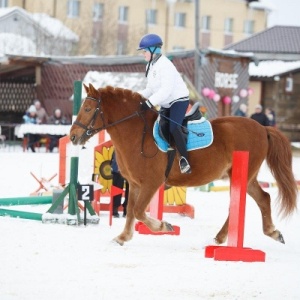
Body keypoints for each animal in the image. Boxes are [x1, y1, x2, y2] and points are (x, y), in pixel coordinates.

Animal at [70, 84, 298, 246]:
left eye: (88, 108)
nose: (72, 136)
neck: (136, 134)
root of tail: (262, 128)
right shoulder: (135, 184)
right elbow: (132, 210)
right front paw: (123, 237)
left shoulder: (151, 183)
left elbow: (139, 211)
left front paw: (164, 225)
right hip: (246, 178)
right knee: (262, 199)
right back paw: (268, 233)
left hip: (240, 175)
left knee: (241, 204)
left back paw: (225, 238)